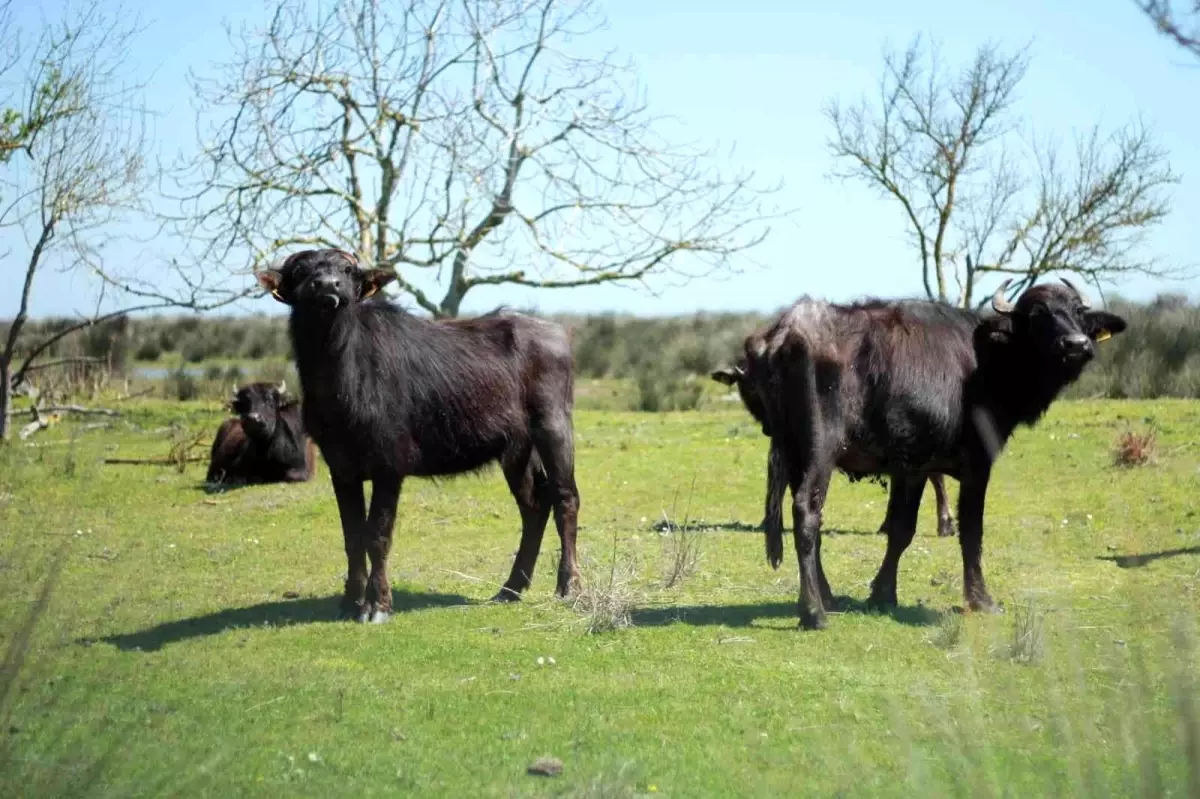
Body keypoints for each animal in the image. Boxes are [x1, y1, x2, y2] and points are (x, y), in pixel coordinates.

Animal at [256, 249, 580, 623]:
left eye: (347, 270)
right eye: (300, 271)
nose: (327, 286)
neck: (341, 377)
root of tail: (556, 333)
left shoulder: (389, 467)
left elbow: (377, 535)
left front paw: (378, 605)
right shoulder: (341, 467)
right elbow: (352, 535)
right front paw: (351, 601)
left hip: (554, 426)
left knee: (565, 498)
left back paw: (569, 585)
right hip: (516, 450)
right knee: (534, 508)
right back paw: (510, 589)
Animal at [744, 279, 1128, 628]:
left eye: (1078, 312)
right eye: (1037, 315)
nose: (1076, 344)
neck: (989, 361)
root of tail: (786, 333)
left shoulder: (909, 470)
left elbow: (900, 530)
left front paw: (883, 594)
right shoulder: (972, 466)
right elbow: (970, 531)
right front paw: (981, 599)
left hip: (793, 453)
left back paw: (826, 597)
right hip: (819, 450)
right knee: (806, 512)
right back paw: (814, 612)